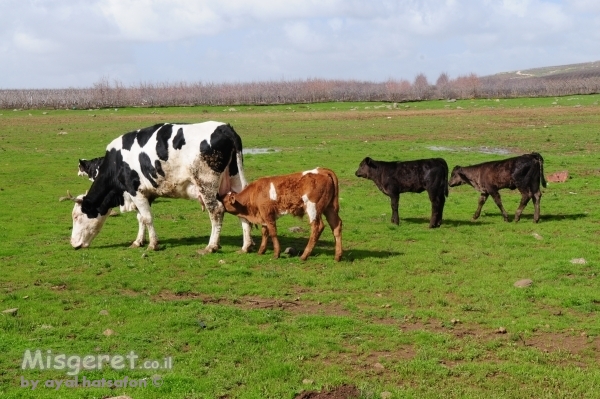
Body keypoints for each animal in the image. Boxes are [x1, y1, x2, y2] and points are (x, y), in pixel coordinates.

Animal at [67, 120, 252, 255]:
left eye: (76, 217)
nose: (72, 243)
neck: (116, 163)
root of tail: (224, 128)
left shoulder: (135, 190)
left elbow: (147, 218)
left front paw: (153, 244)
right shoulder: (146, 194)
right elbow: (141, 218)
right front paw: (138, 241)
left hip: (206, 185)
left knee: (216, 211)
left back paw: (211, 246)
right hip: (234, 179)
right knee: (239, 206)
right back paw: (246, 246)